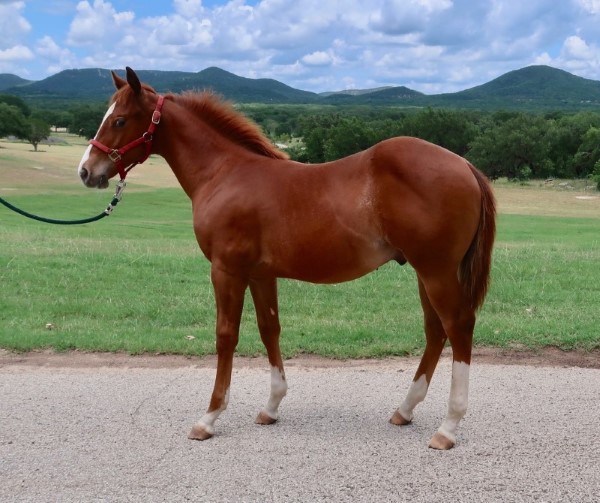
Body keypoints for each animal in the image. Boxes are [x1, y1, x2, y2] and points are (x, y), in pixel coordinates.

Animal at [76, 67, 496, 448]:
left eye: (119, 119)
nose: (85, 171)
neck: (225, 173)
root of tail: (465, 165)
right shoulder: (261, 274)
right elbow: (269, 329)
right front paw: (271, 406)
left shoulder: (226, 270)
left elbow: (226, 336)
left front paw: (209, 417)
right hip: (426, 272)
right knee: (436, 331)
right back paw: (405, 410)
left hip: (437, 271)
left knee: (458, 327)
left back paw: (448, 427)